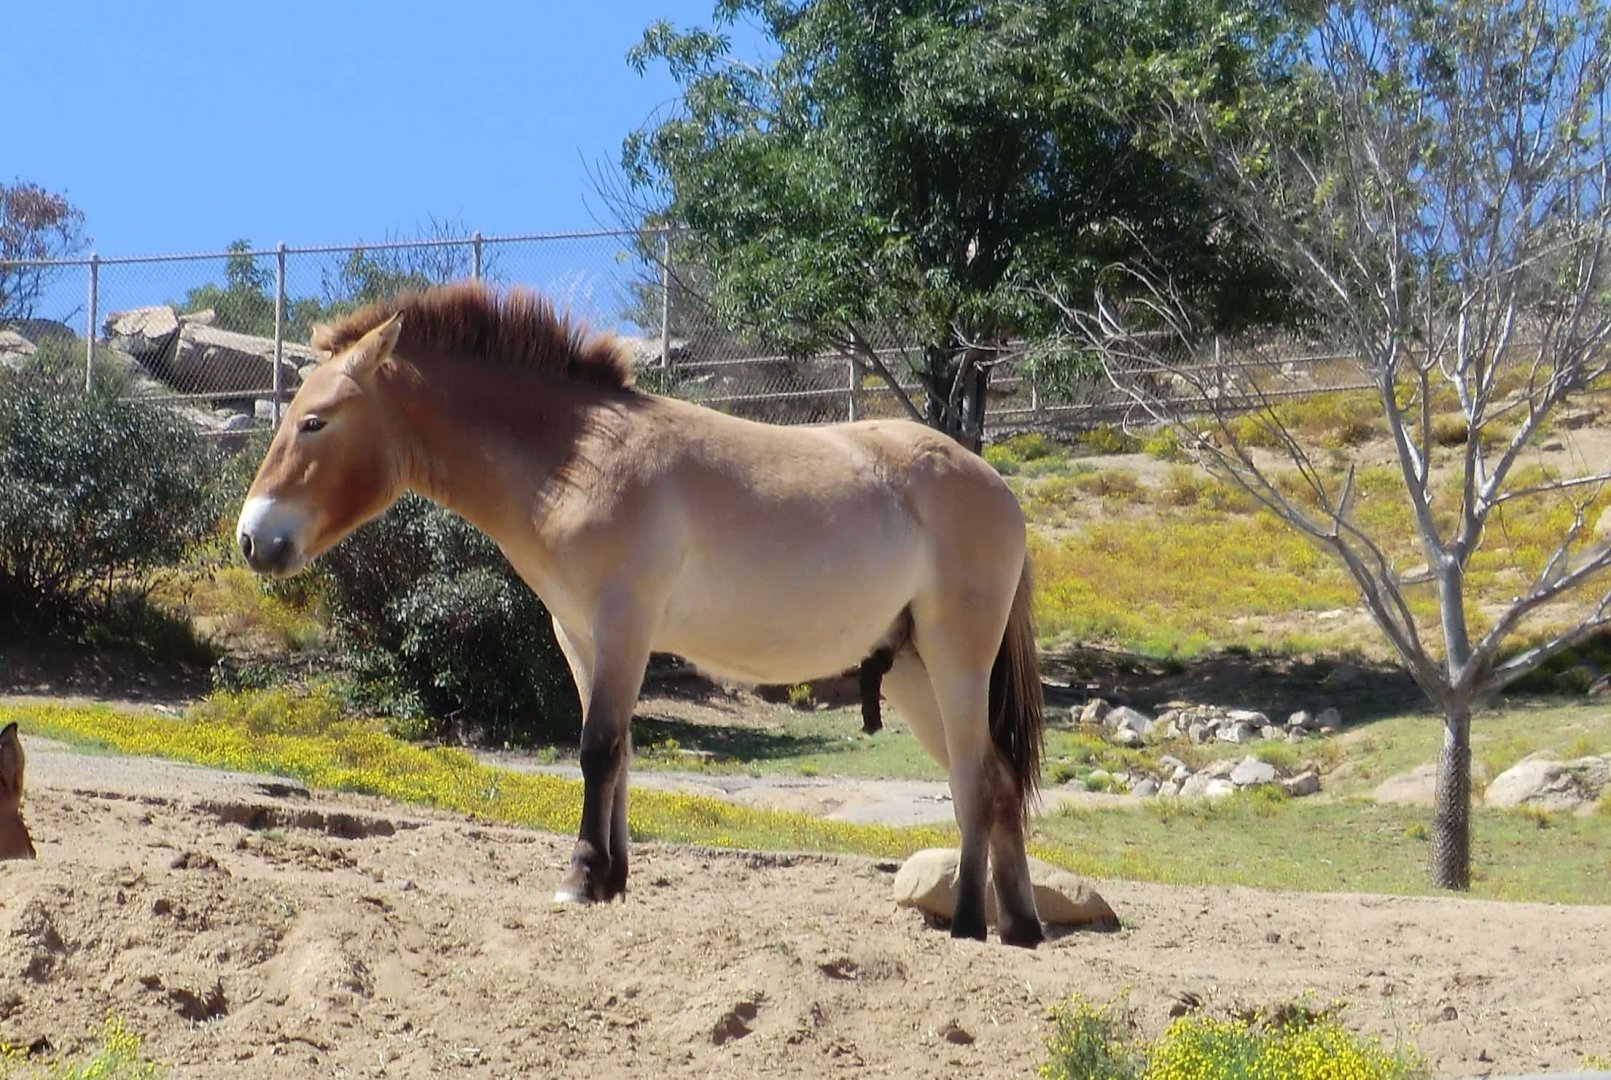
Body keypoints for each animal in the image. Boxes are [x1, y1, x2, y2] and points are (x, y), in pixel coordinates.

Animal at [236, 282, 1046, 946]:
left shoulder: (624, 624)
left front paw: (578, 879)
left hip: (955, 659)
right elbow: (618, 751)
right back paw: (1022, 928)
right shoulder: (579, 637)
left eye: (313, 422)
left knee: (977, 780)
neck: (577, 460)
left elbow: (597, 747)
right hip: (913, 672)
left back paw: (970, 923)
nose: (252, 538)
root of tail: (997, 488)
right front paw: (610, 880)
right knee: (996, 783)